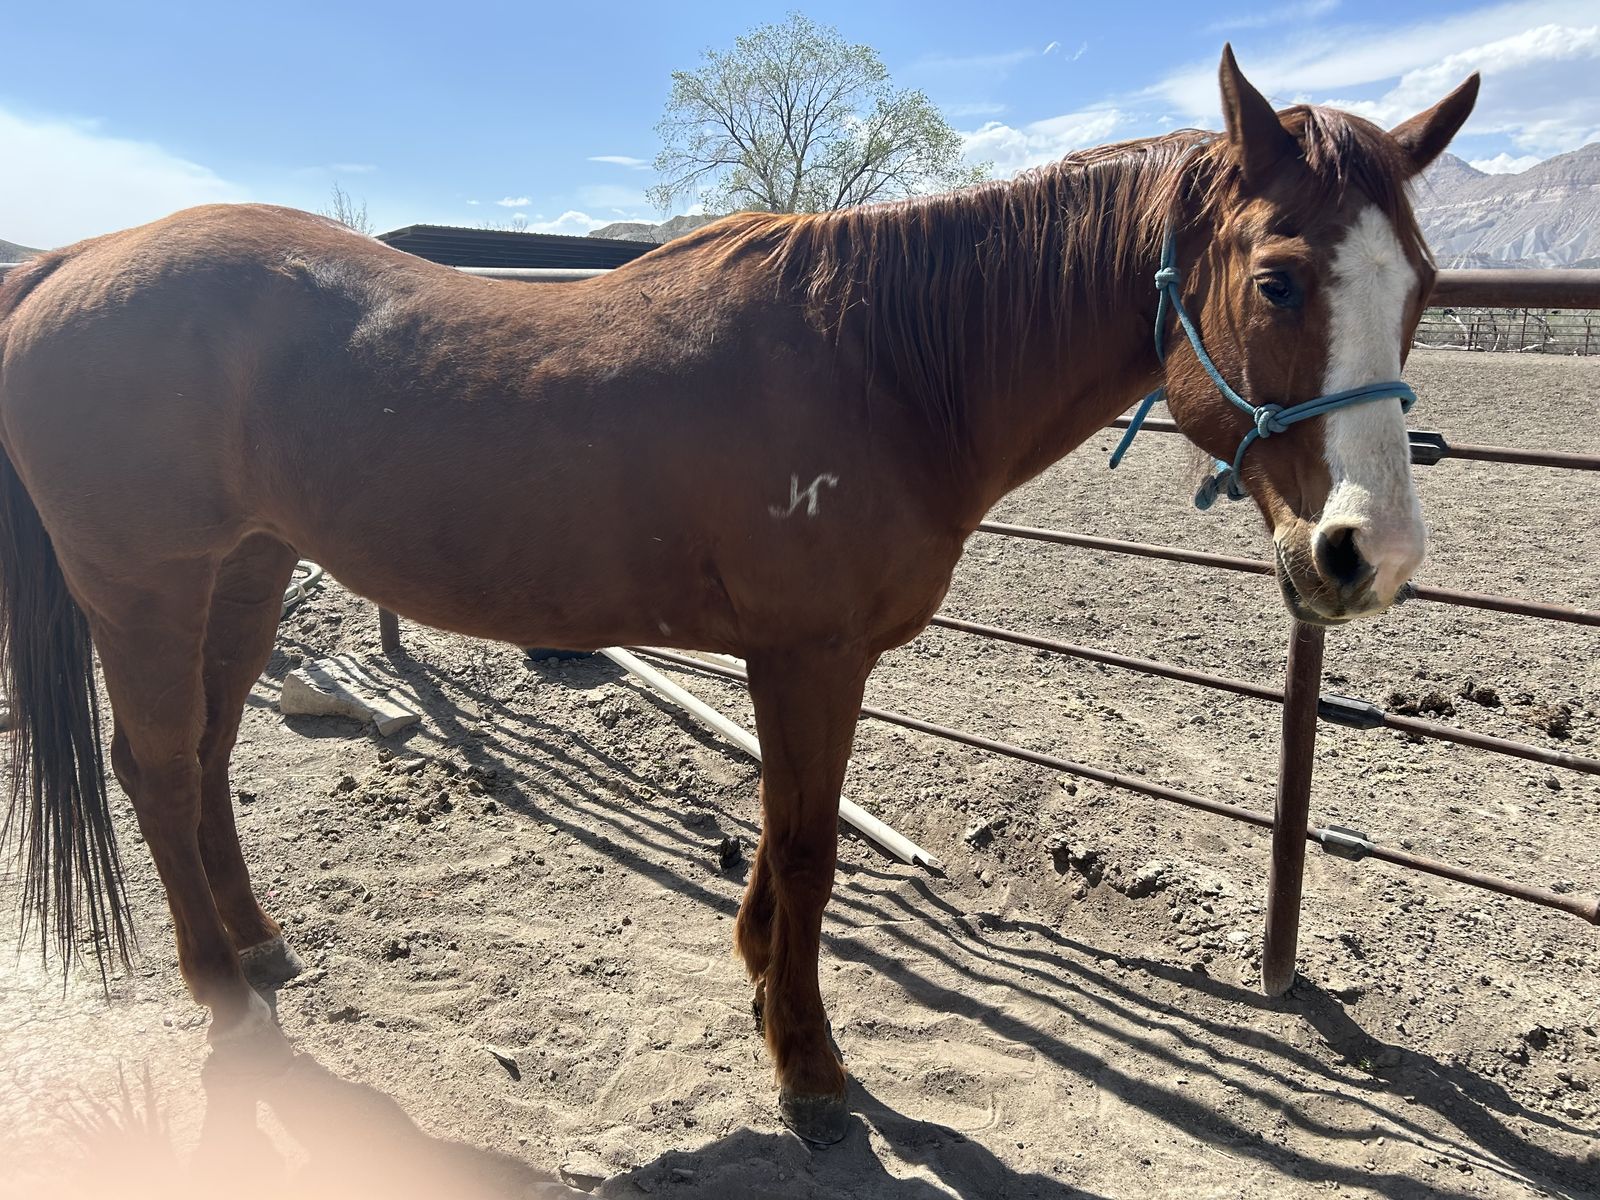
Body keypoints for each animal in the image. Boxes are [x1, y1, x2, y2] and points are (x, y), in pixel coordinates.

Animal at [0, 47, 1475, 1144]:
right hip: (144, 584)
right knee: (156, 765)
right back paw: (225, 998)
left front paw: (765, 985)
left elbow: (781, 842)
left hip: (244, 570)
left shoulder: (804, 662)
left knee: (204, 762)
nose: (1370, 556)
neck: (885, 365)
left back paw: (258, 948)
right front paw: (810, 1070)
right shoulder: (808, 656)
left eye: (1423, 290)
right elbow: (812, 849)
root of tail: (71, 262)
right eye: (1278, 279)